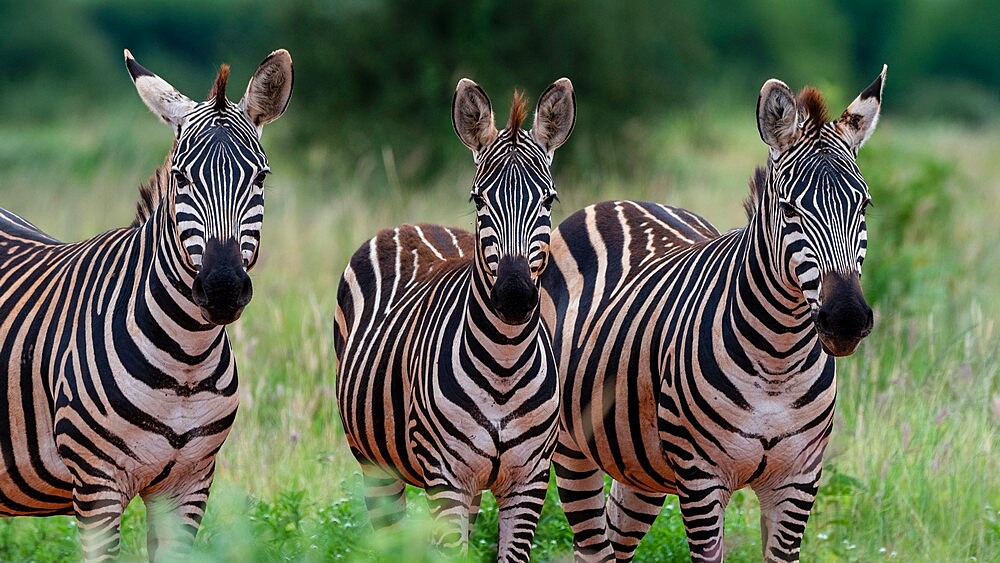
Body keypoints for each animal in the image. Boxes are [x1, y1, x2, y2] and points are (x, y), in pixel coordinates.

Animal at [0, 50, 294, 560]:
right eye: (180, 177)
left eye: (260, 178)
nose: (222, 288)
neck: (186, 361)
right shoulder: (97, 485)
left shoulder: (190, 484)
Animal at [332, 78, 576, 560]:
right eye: (478, 198)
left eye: (549, 199)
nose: (514, 296)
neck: (505, 361)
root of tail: (412, 223)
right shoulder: (447, 479)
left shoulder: (529, 481)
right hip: (375, 465)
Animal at [540, 67, 884, 563]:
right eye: (789, 209)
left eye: (864, 205)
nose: (846, 320)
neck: (778, 359)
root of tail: (619, 201)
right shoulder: (701, 479)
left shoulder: (799, 481)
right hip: (572, 449)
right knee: (591, 546)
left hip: (639, 467)